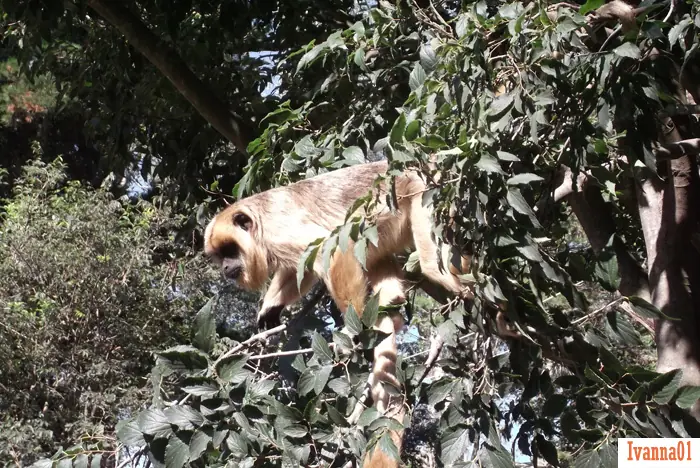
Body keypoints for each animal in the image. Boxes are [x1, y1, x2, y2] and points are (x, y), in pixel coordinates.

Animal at [203, 159, 473, 468]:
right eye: (220, 255)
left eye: (230, 249)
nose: (226, 268)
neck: (259, 226)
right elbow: (299, 271)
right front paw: (270, 309)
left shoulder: (280, 231)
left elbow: (330, 250)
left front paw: (357, 331)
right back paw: (391, 312)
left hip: (423, 190)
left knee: (431, 264)